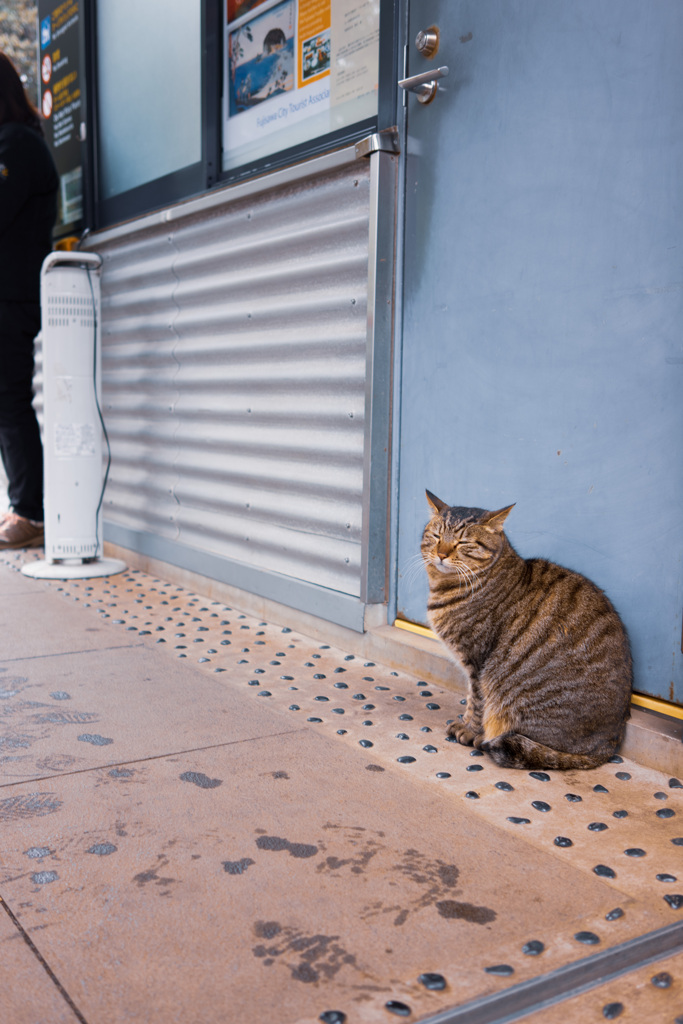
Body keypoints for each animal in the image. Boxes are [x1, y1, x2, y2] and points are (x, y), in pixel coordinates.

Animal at [423, 489, 634, 770]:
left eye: (463, 542)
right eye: (436, 536)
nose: (442, 554)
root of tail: (608, 746)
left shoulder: (477, 663)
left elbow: (477, 702)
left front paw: (469, 730)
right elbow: (471, 699)